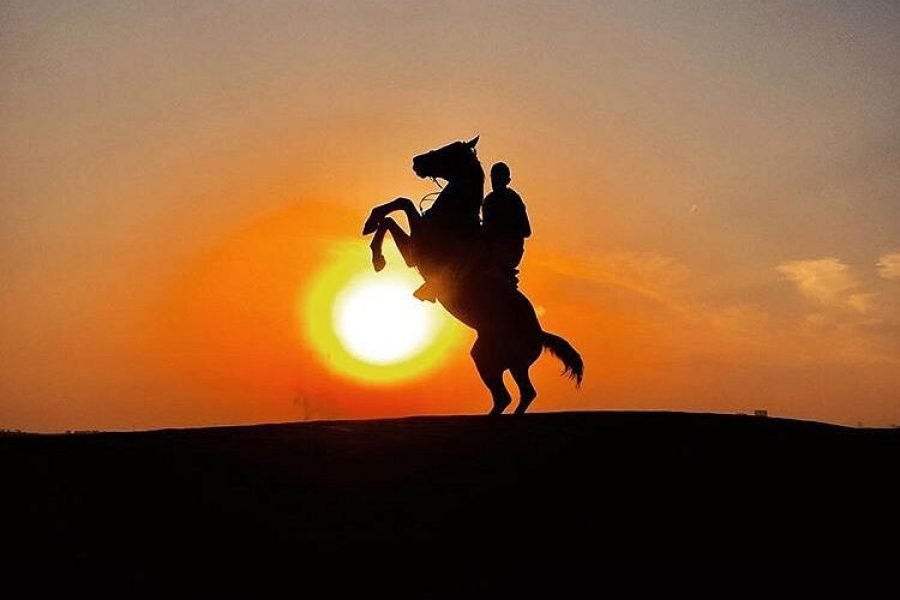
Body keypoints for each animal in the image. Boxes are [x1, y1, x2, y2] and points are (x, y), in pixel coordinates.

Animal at [364, 138, 584, 414]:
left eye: (449, 151)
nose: (416, 161)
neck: (453, 219)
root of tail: (540, 333)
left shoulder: (417, 250)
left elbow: (402, 205)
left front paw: (377, 254)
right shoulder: (413, 252)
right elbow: (395, 213)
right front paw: (372, 233)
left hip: (494, 361)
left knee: (509, 395)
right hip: (500, 361)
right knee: (520, 394)